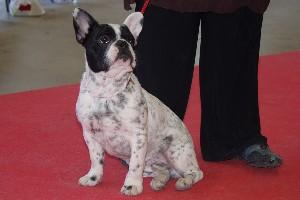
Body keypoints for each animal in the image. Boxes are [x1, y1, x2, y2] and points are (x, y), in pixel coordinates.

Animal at [73, 7, 204, 195]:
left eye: (130, 40)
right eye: (103, 39)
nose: (122, 43)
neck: (108, 91)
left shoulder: (138, 137)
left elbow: (135, 165)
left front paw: (132, 185)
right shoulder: (90, 135)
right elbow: (96, 159)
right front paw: (93, 178)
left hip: (176, 153)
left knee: (195, 172)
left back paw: (185, 181)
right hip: (151, 163)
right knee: (163, 170)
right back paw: (159, 181)